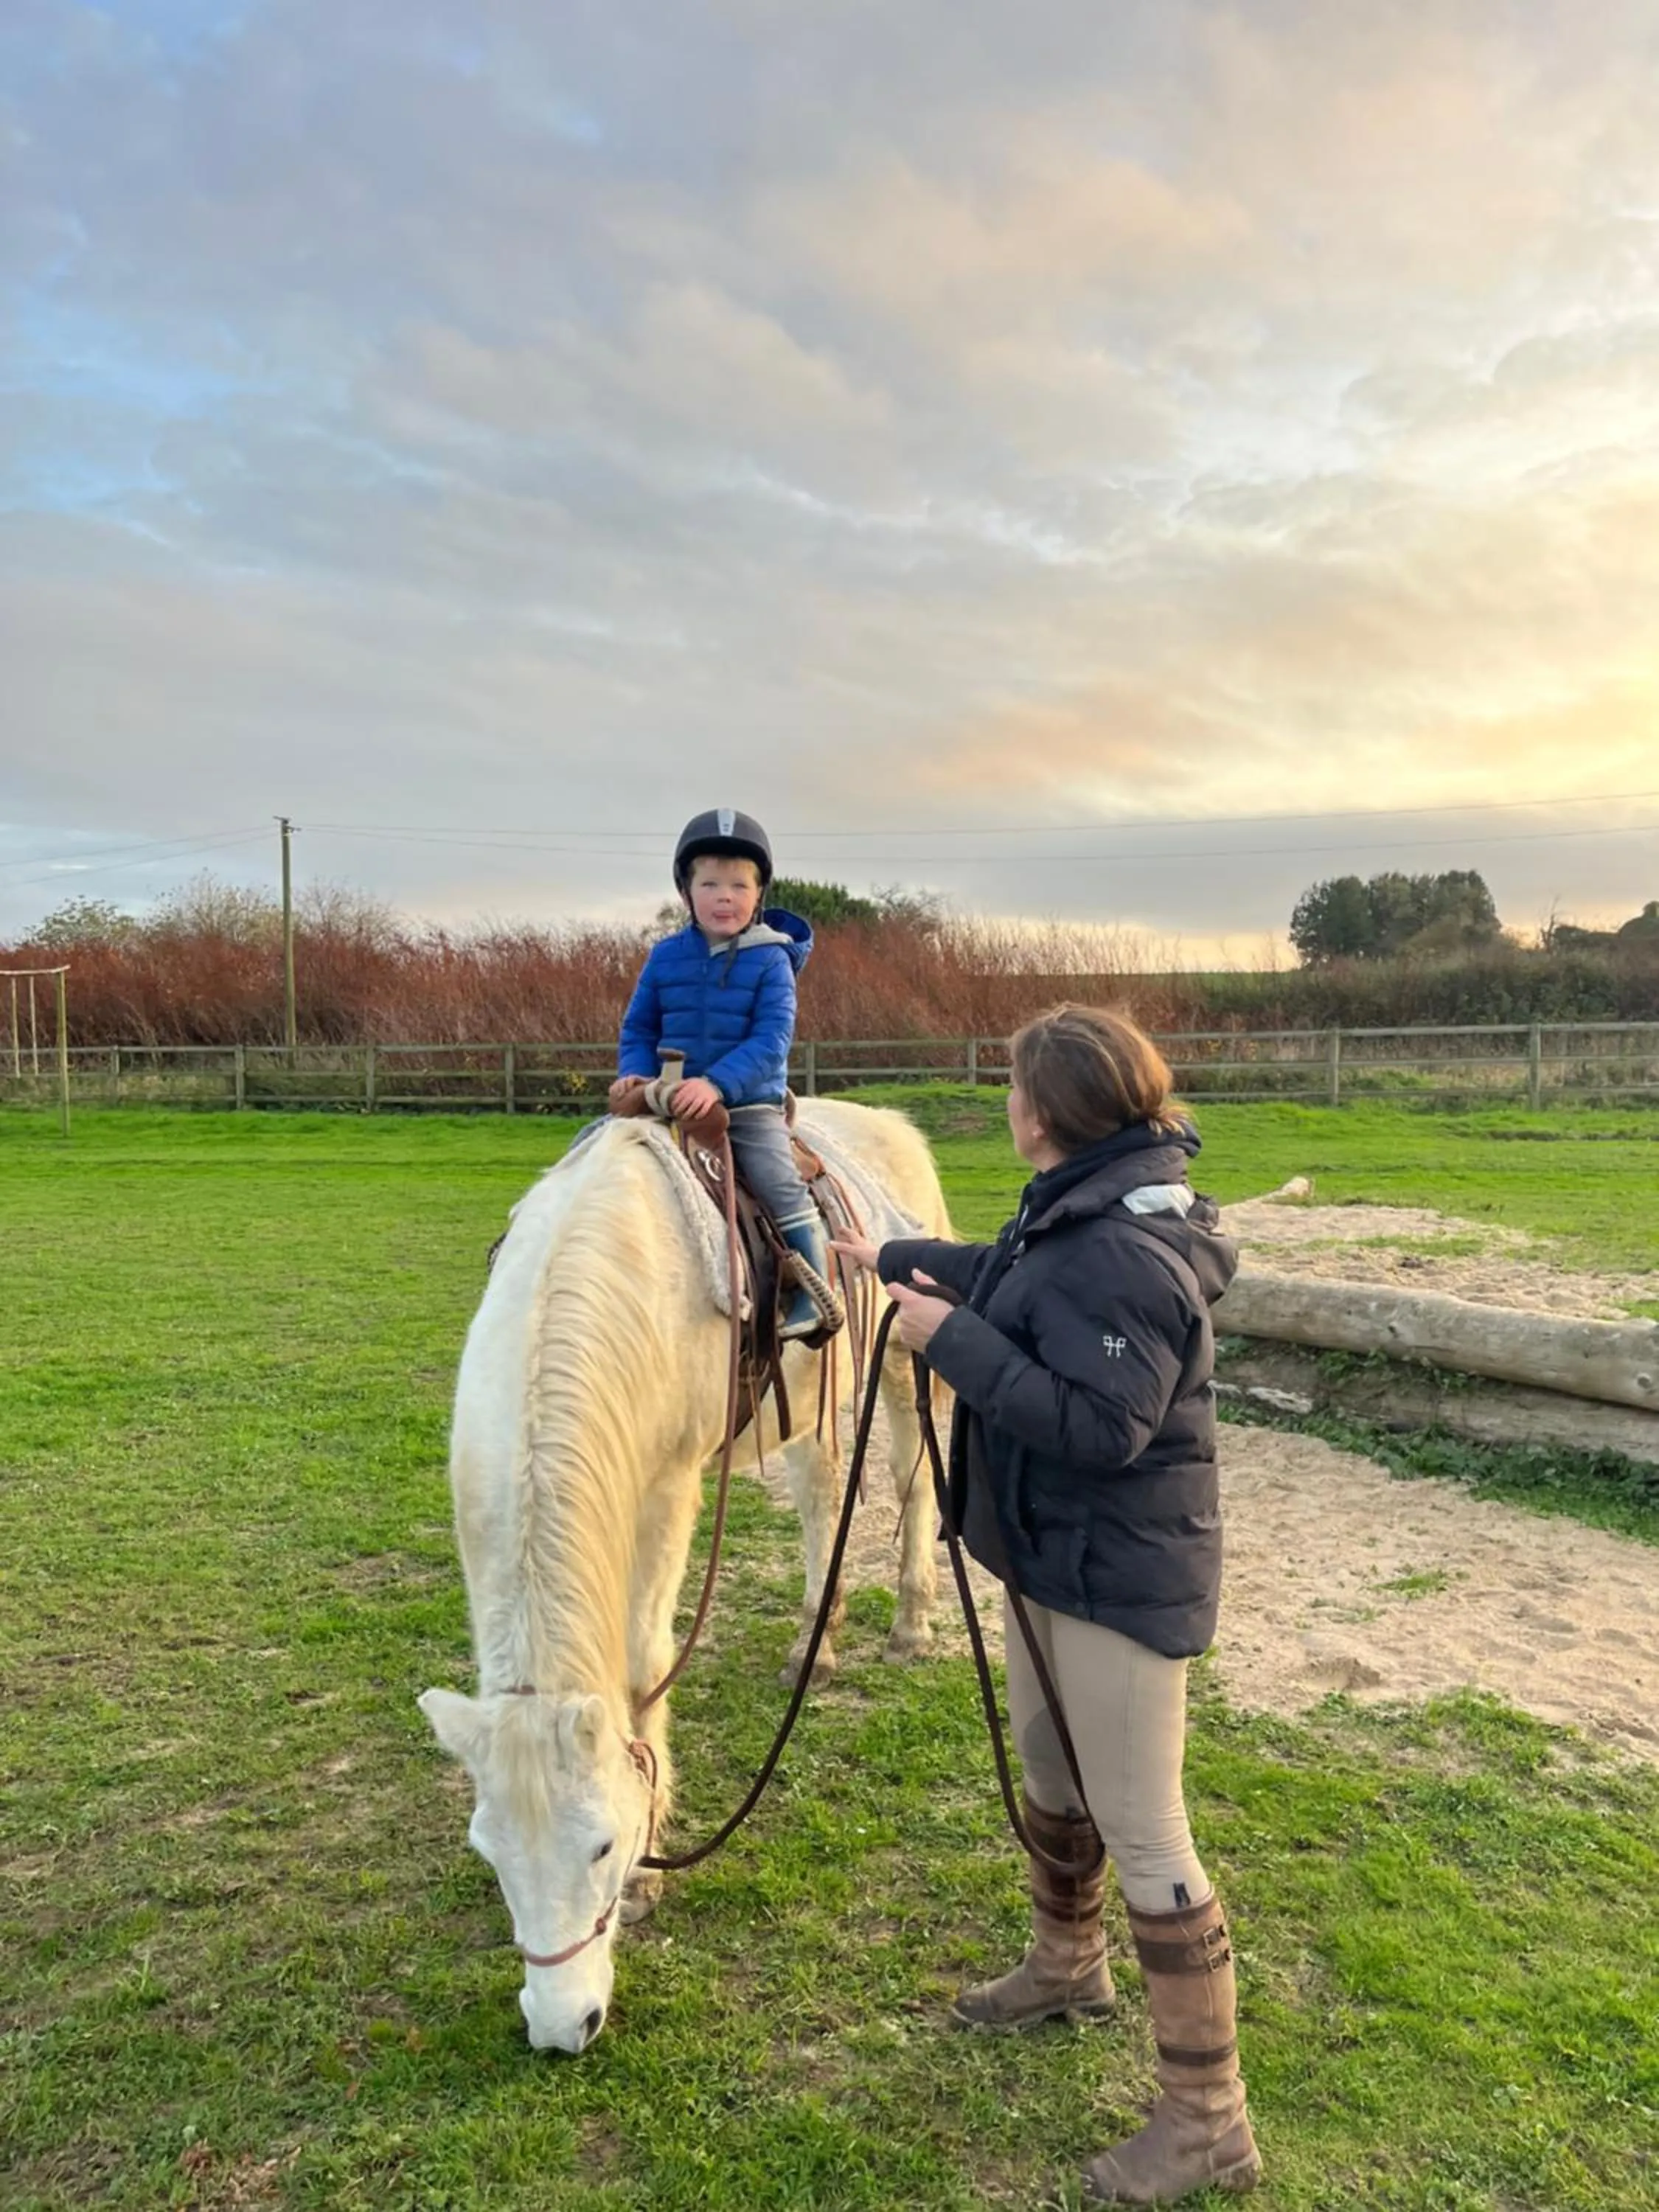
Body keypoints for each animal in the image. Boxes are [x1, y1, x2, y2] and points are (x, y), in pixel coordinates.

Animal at [418, 1096, 952, 2053]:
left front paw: (650, 1862)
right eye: (490, 1853)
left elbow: (641, 1665)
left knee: (910, 1474)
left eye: (602, 1845)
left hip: (903, 1357)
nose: (563, 2026)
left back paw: (911, 1624)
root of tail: (889, 1120)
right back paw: (815, 1645)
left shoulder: (668, 1490)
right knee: (821, 1494)